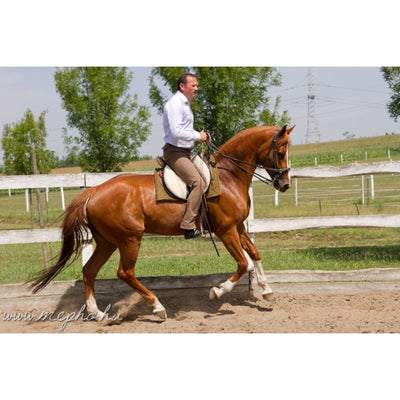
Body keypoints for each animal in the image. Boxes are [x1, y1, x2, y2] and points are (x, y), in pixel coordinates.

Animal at [30, 125, 294, 318]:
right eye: (281, 152)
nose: (285, 185)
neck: (228, 176)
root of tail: (93, 191)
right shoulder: (226, 230)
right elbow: (242, 263)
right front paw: (216, 292)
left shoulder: (238, 227)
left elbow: (255, 254)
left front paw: (267, 291)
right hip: (129, 239)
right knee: (125, 272)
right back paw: (157, 306)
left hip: (108, 242)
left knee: (89, 270)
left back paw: (96, 313)